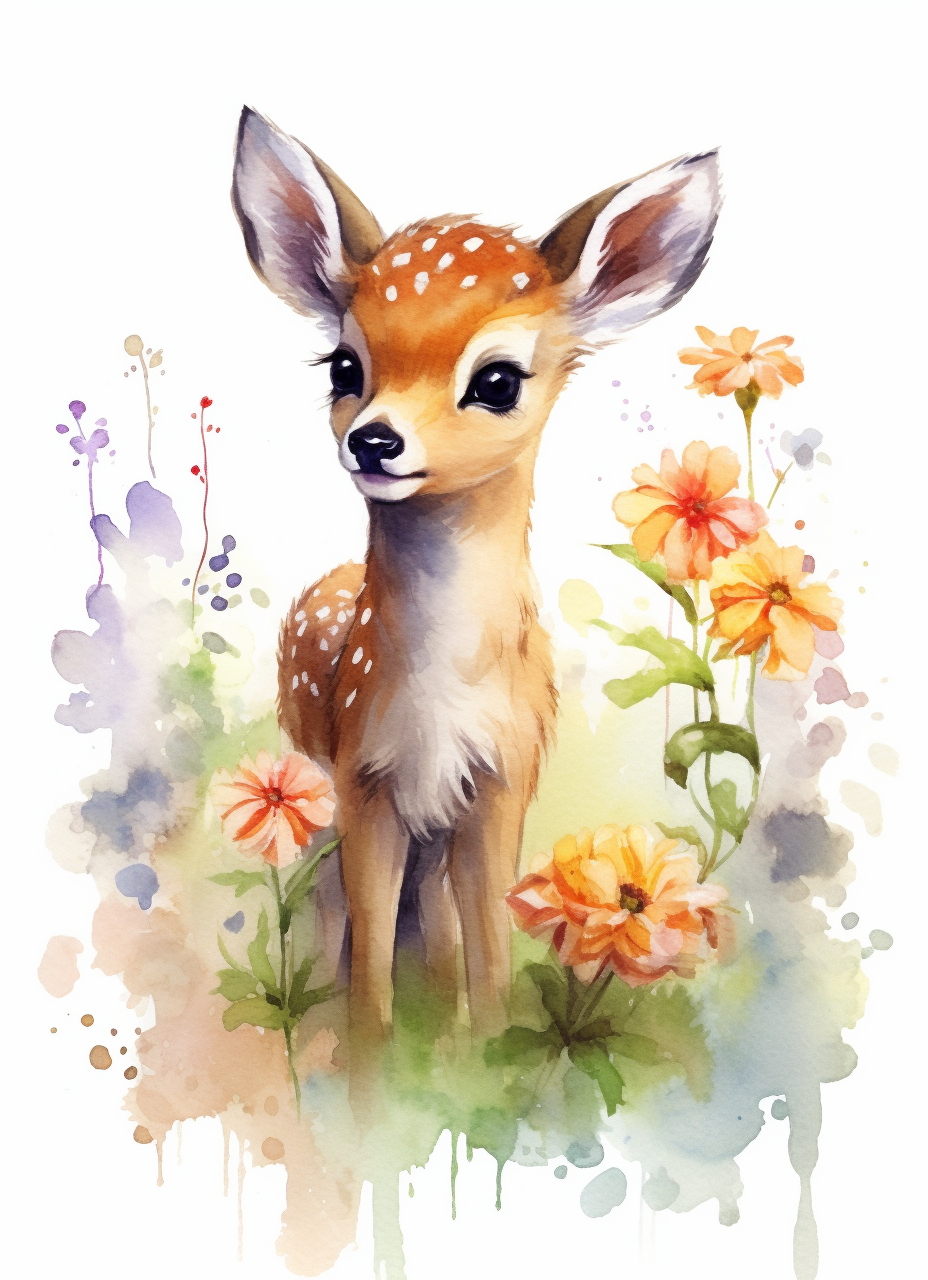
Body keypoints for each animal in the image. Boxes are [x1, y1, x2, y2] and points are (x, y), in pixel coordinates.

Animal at [231, 107, 721, 1068]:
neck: (439, 698)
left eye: (497, 379)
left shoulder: (502, 781)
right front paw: (373, 1082)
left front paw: (488, 1072)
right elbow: (371, 982)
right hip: (320, 776)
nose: (376, 440)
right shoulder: (364, 779)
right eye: (344, 367)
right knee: (336, 913)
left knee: (437, 931)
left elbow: (490, 963)